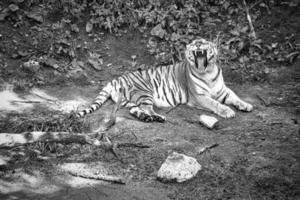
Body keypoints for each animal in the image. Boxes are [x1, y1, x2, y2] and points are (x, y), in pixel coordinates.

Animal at [77, 37, 253, 122]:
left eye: (203, 42)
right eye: (193, 43)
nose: (197, 45)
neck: (208, 72)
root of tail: (115, 79)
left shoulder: (223, 90)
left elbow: (235, 97)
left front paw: (246, 105)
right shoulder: (199, 97)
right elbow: (215, 103)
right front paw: (228, 112)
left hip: (128, 100)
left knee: (135, 110)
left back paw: (147, 118)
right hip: (144, 92)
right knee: (147, 108)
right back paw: (158, 117)